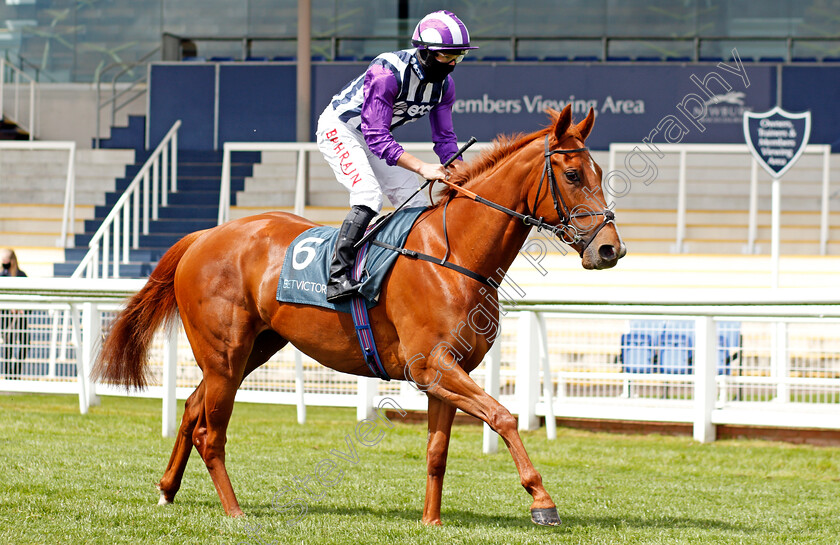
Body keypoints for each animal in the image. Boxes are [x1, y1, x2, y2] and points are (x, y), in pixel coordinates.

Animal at [95, 104, 628, 524]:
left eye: (600, 174)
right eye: (573, 175)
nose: (610, 249)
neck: (455, 255)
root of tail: (204, 235)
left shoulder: (445, 373)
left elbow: (437, 450)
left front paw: (431, 521)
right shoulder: (433, 366)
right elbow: (503, 417)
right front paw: (541, 500)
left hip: (250, 350)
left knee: (191, 408)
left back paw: (167, 490)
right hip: (225, 353)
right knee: (211, 431)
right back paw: (234, 511)